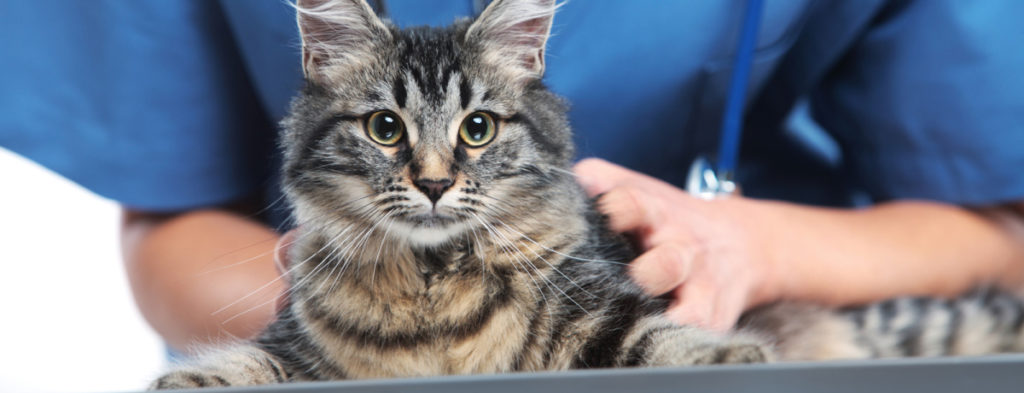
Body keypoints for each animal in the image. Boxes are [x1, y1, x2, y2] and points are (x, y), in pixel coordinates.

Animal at [151, 0, 1024, 388]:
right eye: (385, 128)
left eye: (476, 129)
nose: (433, 184)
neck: (433, 290)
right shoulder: (300, 347)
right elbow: (240, 365)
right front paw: (184, 379)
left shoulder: (602, 309)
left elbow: (666, 340)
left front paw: (733, 356)